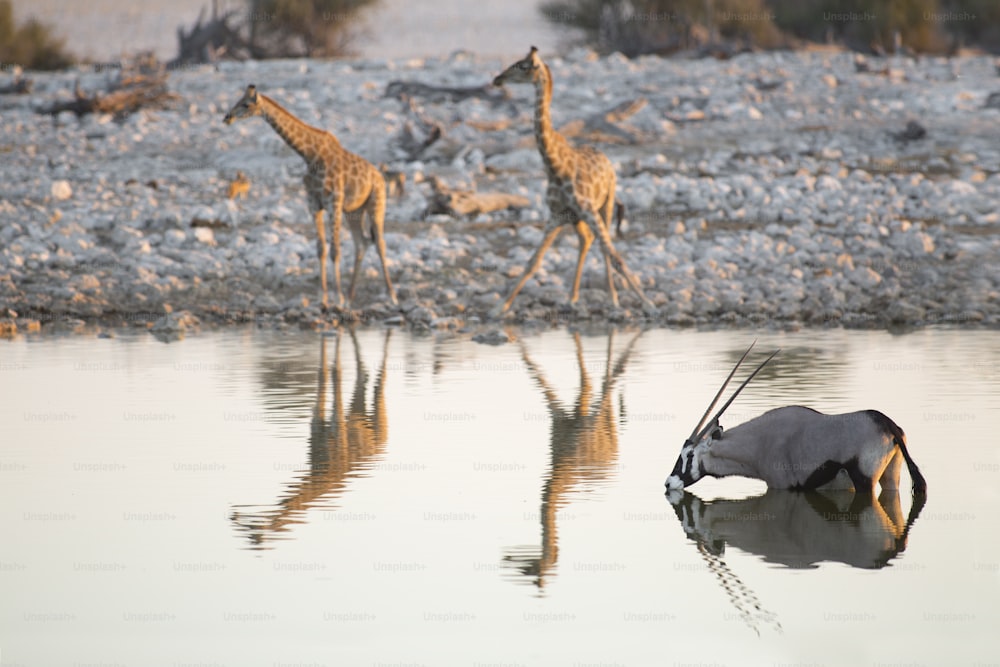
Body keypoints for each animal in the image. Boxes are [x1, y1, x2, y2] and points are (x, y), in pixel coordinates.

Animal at [225, 84, 396, 310]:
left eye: (246, 104)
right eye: (237, 100)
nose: (227, 117)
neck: (310, 155)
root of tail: (379, 176)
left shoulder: (334, 203)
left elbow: (335, 251)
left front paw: (337, 298)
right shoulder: (313, 204)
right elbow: (321, 249)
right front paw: (323, 299)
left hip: (376, 203)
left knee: (380, 244)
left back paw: (391, 296)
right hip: (354, 212)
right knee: (362, 243)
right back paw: (351, 297)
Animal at [492, 49, 656, 316]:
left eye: (524, 66)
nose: (498, 79)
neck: (555, 167)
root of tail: (605, 157)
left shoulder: (586, 211)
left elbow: (616, 258)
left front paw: (649, 304)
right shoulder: (556, 216)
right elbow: (532, 262)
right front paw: (500, 306)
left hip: (605, 205)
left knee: (603, 247)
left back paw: (612, 300)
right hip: (577, 219)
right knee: (586, 241)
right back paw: (572, 299)